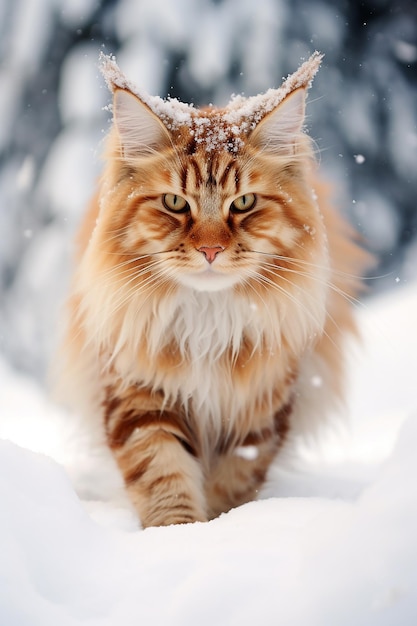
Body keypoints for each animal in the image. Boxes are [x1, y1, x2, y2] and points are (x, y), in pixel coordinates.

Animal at [57, 52, 368, 528]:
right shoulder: (139, 396)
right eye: (174, 203)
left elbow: (233, 485)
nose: (210, 249)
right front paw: (179, 535)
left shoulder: (259, 411)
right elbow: (164, 478)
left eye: (243, 203)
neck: (207, 318)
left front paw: (221, 529)